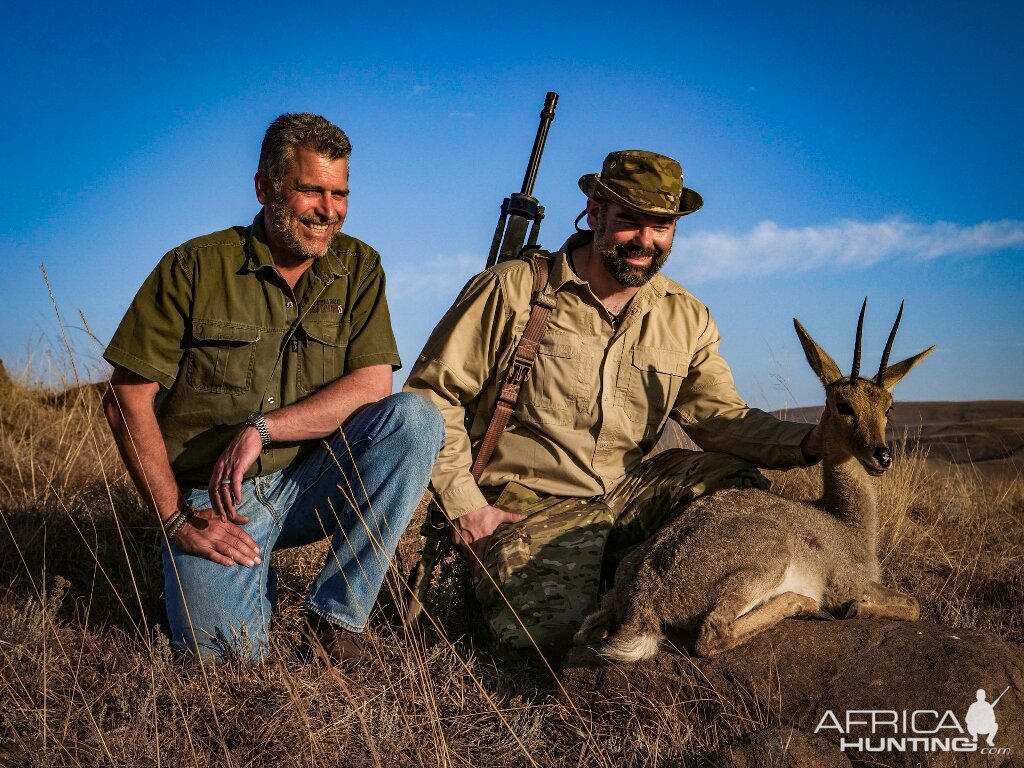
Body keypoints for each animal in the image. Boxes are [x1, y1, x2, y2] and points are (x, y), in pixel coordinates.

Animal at [573, 301, 933, 663]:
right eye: (843, 405)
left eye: (888, 408)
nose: (881, 456)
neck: (845, 520)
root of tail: (644, 598)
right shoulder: (850, 582)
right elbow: (913, 604)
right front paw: (854, 609)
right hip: (767, 563)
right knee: (714, 632)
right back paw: (807, 605)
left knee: (587, 627)